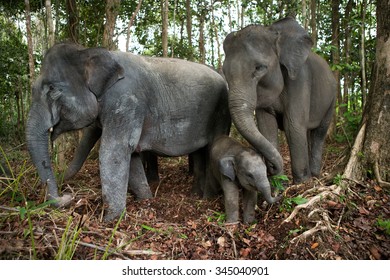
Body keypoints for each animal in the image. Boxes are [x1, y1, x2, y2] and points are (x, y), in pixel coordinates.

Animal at [25, 42, 230, 221]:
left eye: (52, 89)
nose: (67, 195)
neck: (89, 51)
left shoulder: (126, 101)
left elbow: (113, 152)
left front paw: (110, 221)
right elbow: (131, 155)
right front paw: (145, 200)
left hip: (221, 113)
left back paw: (206, 198)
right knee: (199, 153)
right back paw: (196, 195)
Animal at [224, 17, 336, 184]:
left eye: (259, 68)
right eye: (224, 72)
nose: (271, 168)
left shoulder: (300, 79)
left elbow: (293, 125)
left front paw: (302, 183)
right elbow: (267, 127)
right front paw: (280, 184)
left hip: (332, 99)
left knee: (319, 132)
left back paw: (315, 175)